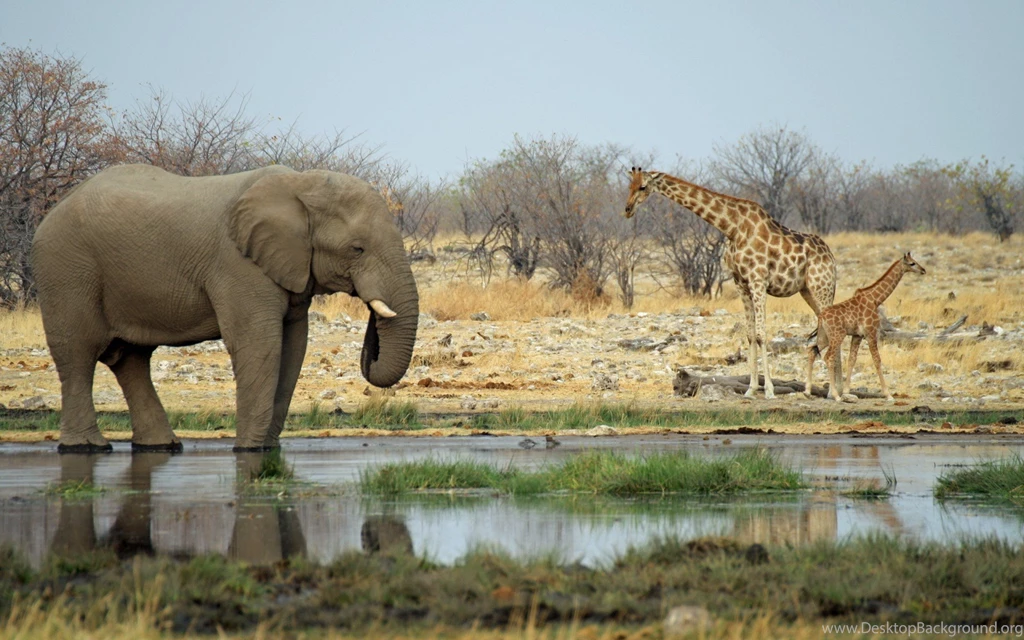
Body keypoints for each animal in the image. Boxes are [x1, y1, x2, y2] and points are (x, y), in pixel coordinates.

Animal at [32, 164, 419, 453]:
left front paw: (266, 449)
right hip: (67, 271)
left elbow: (294, 346)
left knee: (131, 360)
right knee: (78, 354)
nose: (372, 325)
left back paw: (161, 446)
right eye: (357, 249)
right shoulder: (238, 265)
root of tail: (51, 211)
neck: (299, 183)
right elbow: (259, 344)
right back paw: (86, 448)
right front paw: (248, 450)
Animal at [624, 167, 837, 398]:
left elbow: (762, 334)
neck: (733, 227)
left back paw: (835, 392)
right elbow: (750, 335)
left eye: (643, 186)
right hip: (808, 291)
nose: (627, 210)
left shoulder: (758, 280)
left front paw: (769, 390)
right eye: (629, 185)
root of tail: (831, 258)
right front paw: (751, 389)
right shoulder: (741, 283)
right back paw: (833, 390)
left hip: (821, 288)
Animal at [805, 252, 926, 402]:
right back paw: (835, 396)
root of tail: (821, 317)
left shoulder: (857, 335)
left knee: (812, 350)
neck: (875, 299)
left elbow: (852, 360)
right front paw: (888, 395)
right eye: (912, 263)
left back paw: (807, 392)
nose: (923, 270)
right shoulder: (871, 332)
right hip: (837, 335)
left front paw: (846, 392)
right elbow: (877, 360)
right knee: (828, 357)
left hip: (824, 336)